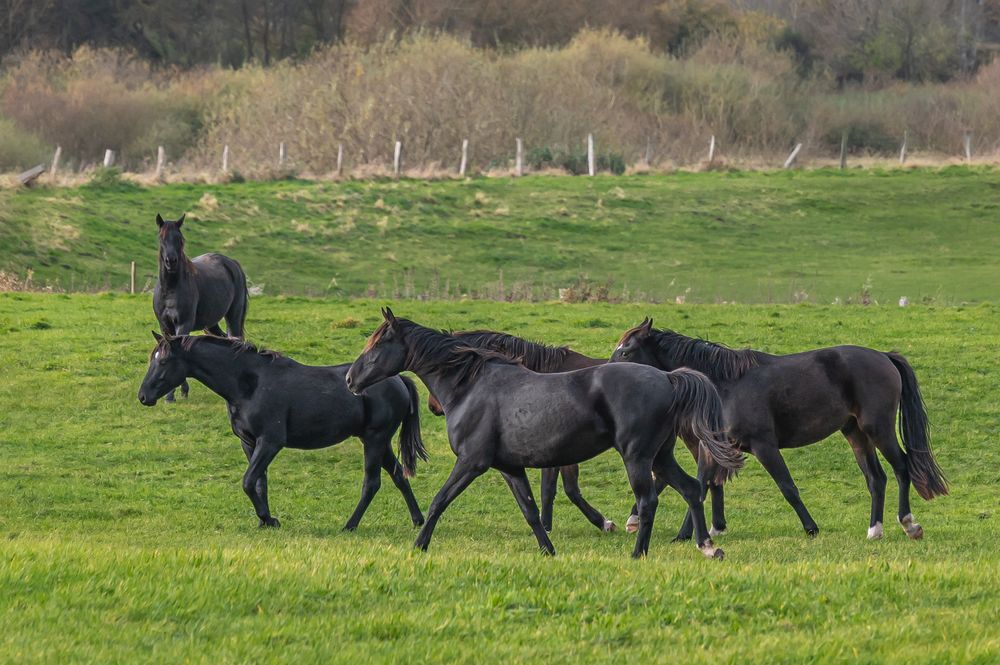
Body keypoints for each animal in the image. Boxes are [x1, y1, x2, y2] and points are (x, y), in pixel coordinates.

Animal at [138, 334, 426, 532]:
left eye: (163, 360)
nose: (143, 396)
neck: (249, 384)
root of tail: (398, 379)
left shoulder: (270, 442)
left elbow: (247, 481)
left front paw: (269, 519)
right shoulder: (249, 443)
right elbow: (259, 483)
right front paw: (265, 521)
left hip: (375, 440)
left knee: (372, 483)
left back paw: (349, 525)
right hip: (378, 441)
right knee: (399, 476)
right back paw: (418, 520)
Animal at [156, 213, 252, 400]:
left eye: (179, 238)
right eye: (161, 238)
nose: (171, 261)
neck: (171, 289)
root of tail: (233, 263)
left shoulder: (183, 324)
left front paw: (177, 393)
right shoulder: (165, 326)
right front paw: (174, 394)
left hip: (234, 317)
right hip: (212, 324)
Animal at [608, 316, 944, 540]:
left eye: (626, 351)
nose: (611, 373)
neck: (725, 384)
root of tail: (885, 356)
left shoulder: (764, 446)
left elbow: (787, 486)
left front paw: (811, 527)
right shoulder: (715, 448)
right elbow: (702, 484)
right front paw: (692, 533)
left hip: (878, 429)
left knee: (902, 468)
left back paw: (909, 523)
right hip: (855, 433)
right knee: (876, 479)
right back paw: (875, 529)